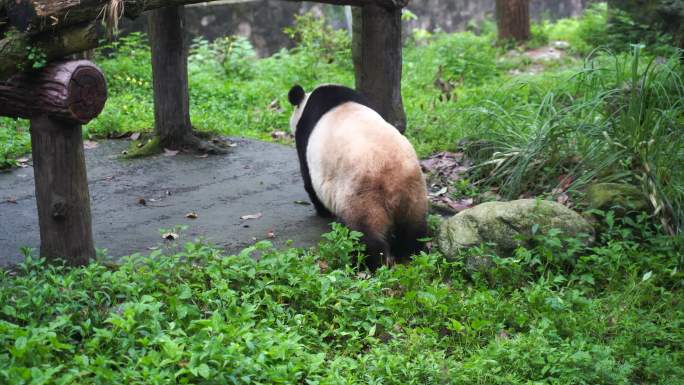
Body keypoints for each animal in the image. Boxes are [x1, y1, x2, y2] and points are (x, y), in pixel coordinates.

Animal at [288, 84, 428, 268]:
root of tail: (390, 175)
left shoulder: (305, 140)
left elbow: (309, 182)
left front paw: (323, 212)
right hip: (414, 191)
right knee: (414, 230)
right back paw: (411, 256)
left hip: (363, 194)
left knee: (365, 234)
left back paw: (372, 263)